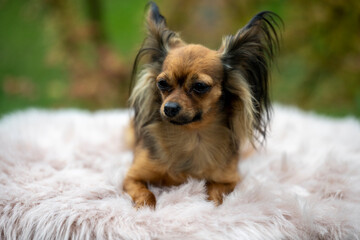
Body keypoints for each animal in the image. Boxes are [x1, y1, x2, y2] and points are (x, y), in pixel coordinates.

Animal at [123, 1, 282, 208]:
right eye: (162, 83)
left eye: (199, 86)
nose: (169, 108)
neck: (192, 134)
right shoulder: (132, 177)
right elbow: (145, 193)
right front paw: (146, 208)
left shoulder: (229, 181)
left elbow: (215, 193)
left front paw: (209, 205)